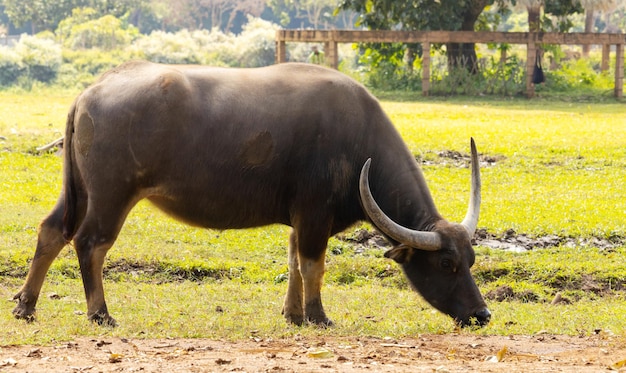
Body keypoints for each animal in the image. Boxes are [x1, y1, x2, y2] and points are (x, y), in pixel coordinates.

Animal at [11, 60, 488, 326]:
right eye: (445, 264)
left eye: (471, 260)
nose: (482, 315)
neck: (358, 142)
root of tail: (92, 91)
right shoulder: (314, 215)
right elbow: (313, 265)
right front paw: (318, 317)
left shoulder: (300, 218)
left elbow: (294, 263)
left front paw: (293, 315)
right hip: (112, 194)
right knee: (91, 243)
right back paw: (100, 313)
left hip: (79, 190)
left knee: (52, 232)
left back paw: (26, 306)